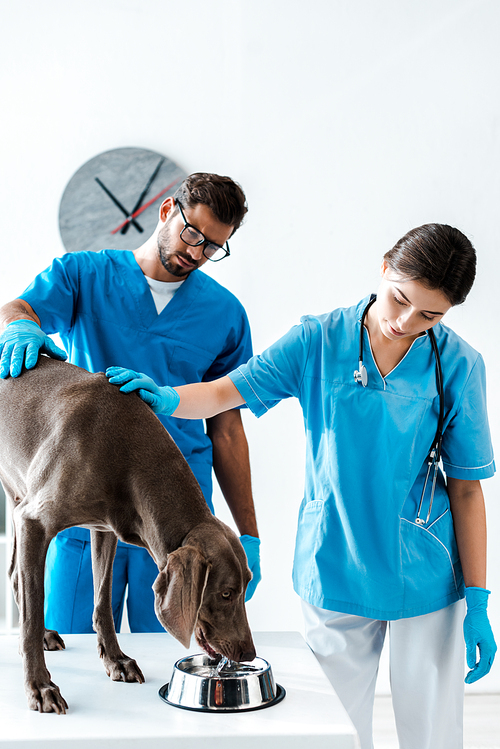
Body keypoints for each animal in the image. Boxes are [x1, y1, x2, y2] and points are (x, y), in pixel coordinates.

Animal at [0, 356, 256, 712]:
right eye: (226, 594)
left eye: (247, 586)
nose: (249, 654)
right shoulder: (34, 521)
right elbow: (32, 613)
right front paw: (39, 686)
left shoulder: (104, 528)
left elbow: (102, 601)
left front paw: (116, 660)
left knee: (15, 573)